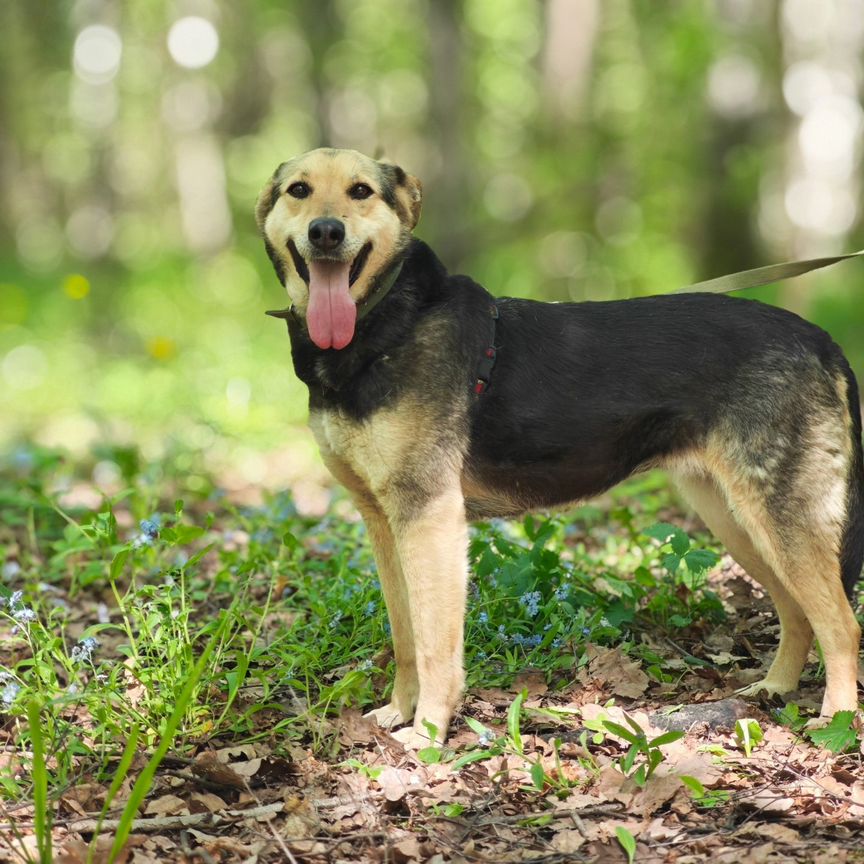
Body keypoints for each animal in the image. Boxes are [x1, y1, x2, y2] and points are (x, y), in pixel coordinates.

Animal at [258, 145, 864, 744]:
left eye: (360, 191)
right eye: (299, 190)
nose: (326, 232)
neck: (387, 322)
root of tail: (821, 339)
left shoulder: (428, 516)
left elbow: (433, 645)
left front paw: (428, 732)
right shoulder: (383, 520)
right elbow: (405, 635)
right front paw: (399, 712)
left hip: (781, 517)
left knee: (841, 623)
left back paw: (835, 719)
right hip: (736, 519)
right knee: (798, 612)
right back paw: (774, 688)